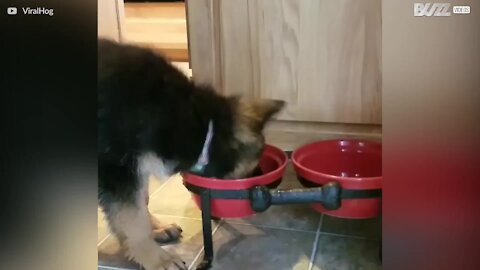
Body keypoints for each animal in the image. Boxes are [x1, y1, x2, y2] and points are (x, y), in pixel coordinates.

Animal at [98, 38, 284, 270]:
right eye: (251, 170)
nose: (264, 181)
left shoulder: (131, 170)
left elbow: (140, 203)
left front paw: (153, 230)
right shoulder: (118, 170)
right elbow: (134, 219)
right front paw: (157, 258)